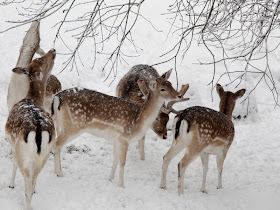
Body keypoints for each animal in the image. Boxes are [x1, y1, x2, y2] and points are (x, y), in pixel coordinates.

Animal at [5, 49, 55, 210]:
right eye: (40, 59)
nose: (53, 50)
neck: (32, 98)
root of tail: (39, 130)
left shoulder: (13, 143)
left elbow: (14, 163)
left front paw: (11, 185)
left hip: (24, 154)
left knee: (27, 185)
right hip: (44, 156)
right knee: (33, 182)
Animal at [51, 69, 185, 187]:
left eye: (170, 83)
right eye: (162, 89)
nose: (179, 95)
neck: (140, 119)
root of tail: (57, 98)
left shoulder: (116, 139)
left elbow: (115, 159)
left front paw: (110, 179)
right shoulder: (124, 138)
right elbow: (122, 162)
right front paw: (121, 185)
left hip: (61, 123)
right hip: (72, 125)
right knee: (57, 144)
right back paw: (59, 173)